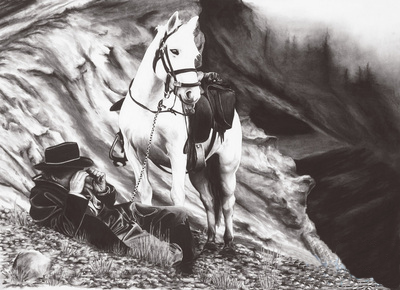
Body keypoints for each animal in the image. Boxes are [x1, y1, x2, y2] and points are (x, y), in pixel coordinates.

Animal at [119, 11, 242, 250]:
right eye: (174, 51)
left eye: (196, 55)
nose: (191, 95)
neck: (150, 107)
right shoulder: (133, 151)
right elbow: (145, 190)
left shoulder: (177, 153)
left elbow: (176, 196)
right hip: (198, 171)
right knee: (209, 201)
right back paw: (210, 240)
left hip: (226, 168)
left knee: (227, 202)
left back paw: (228, 243)